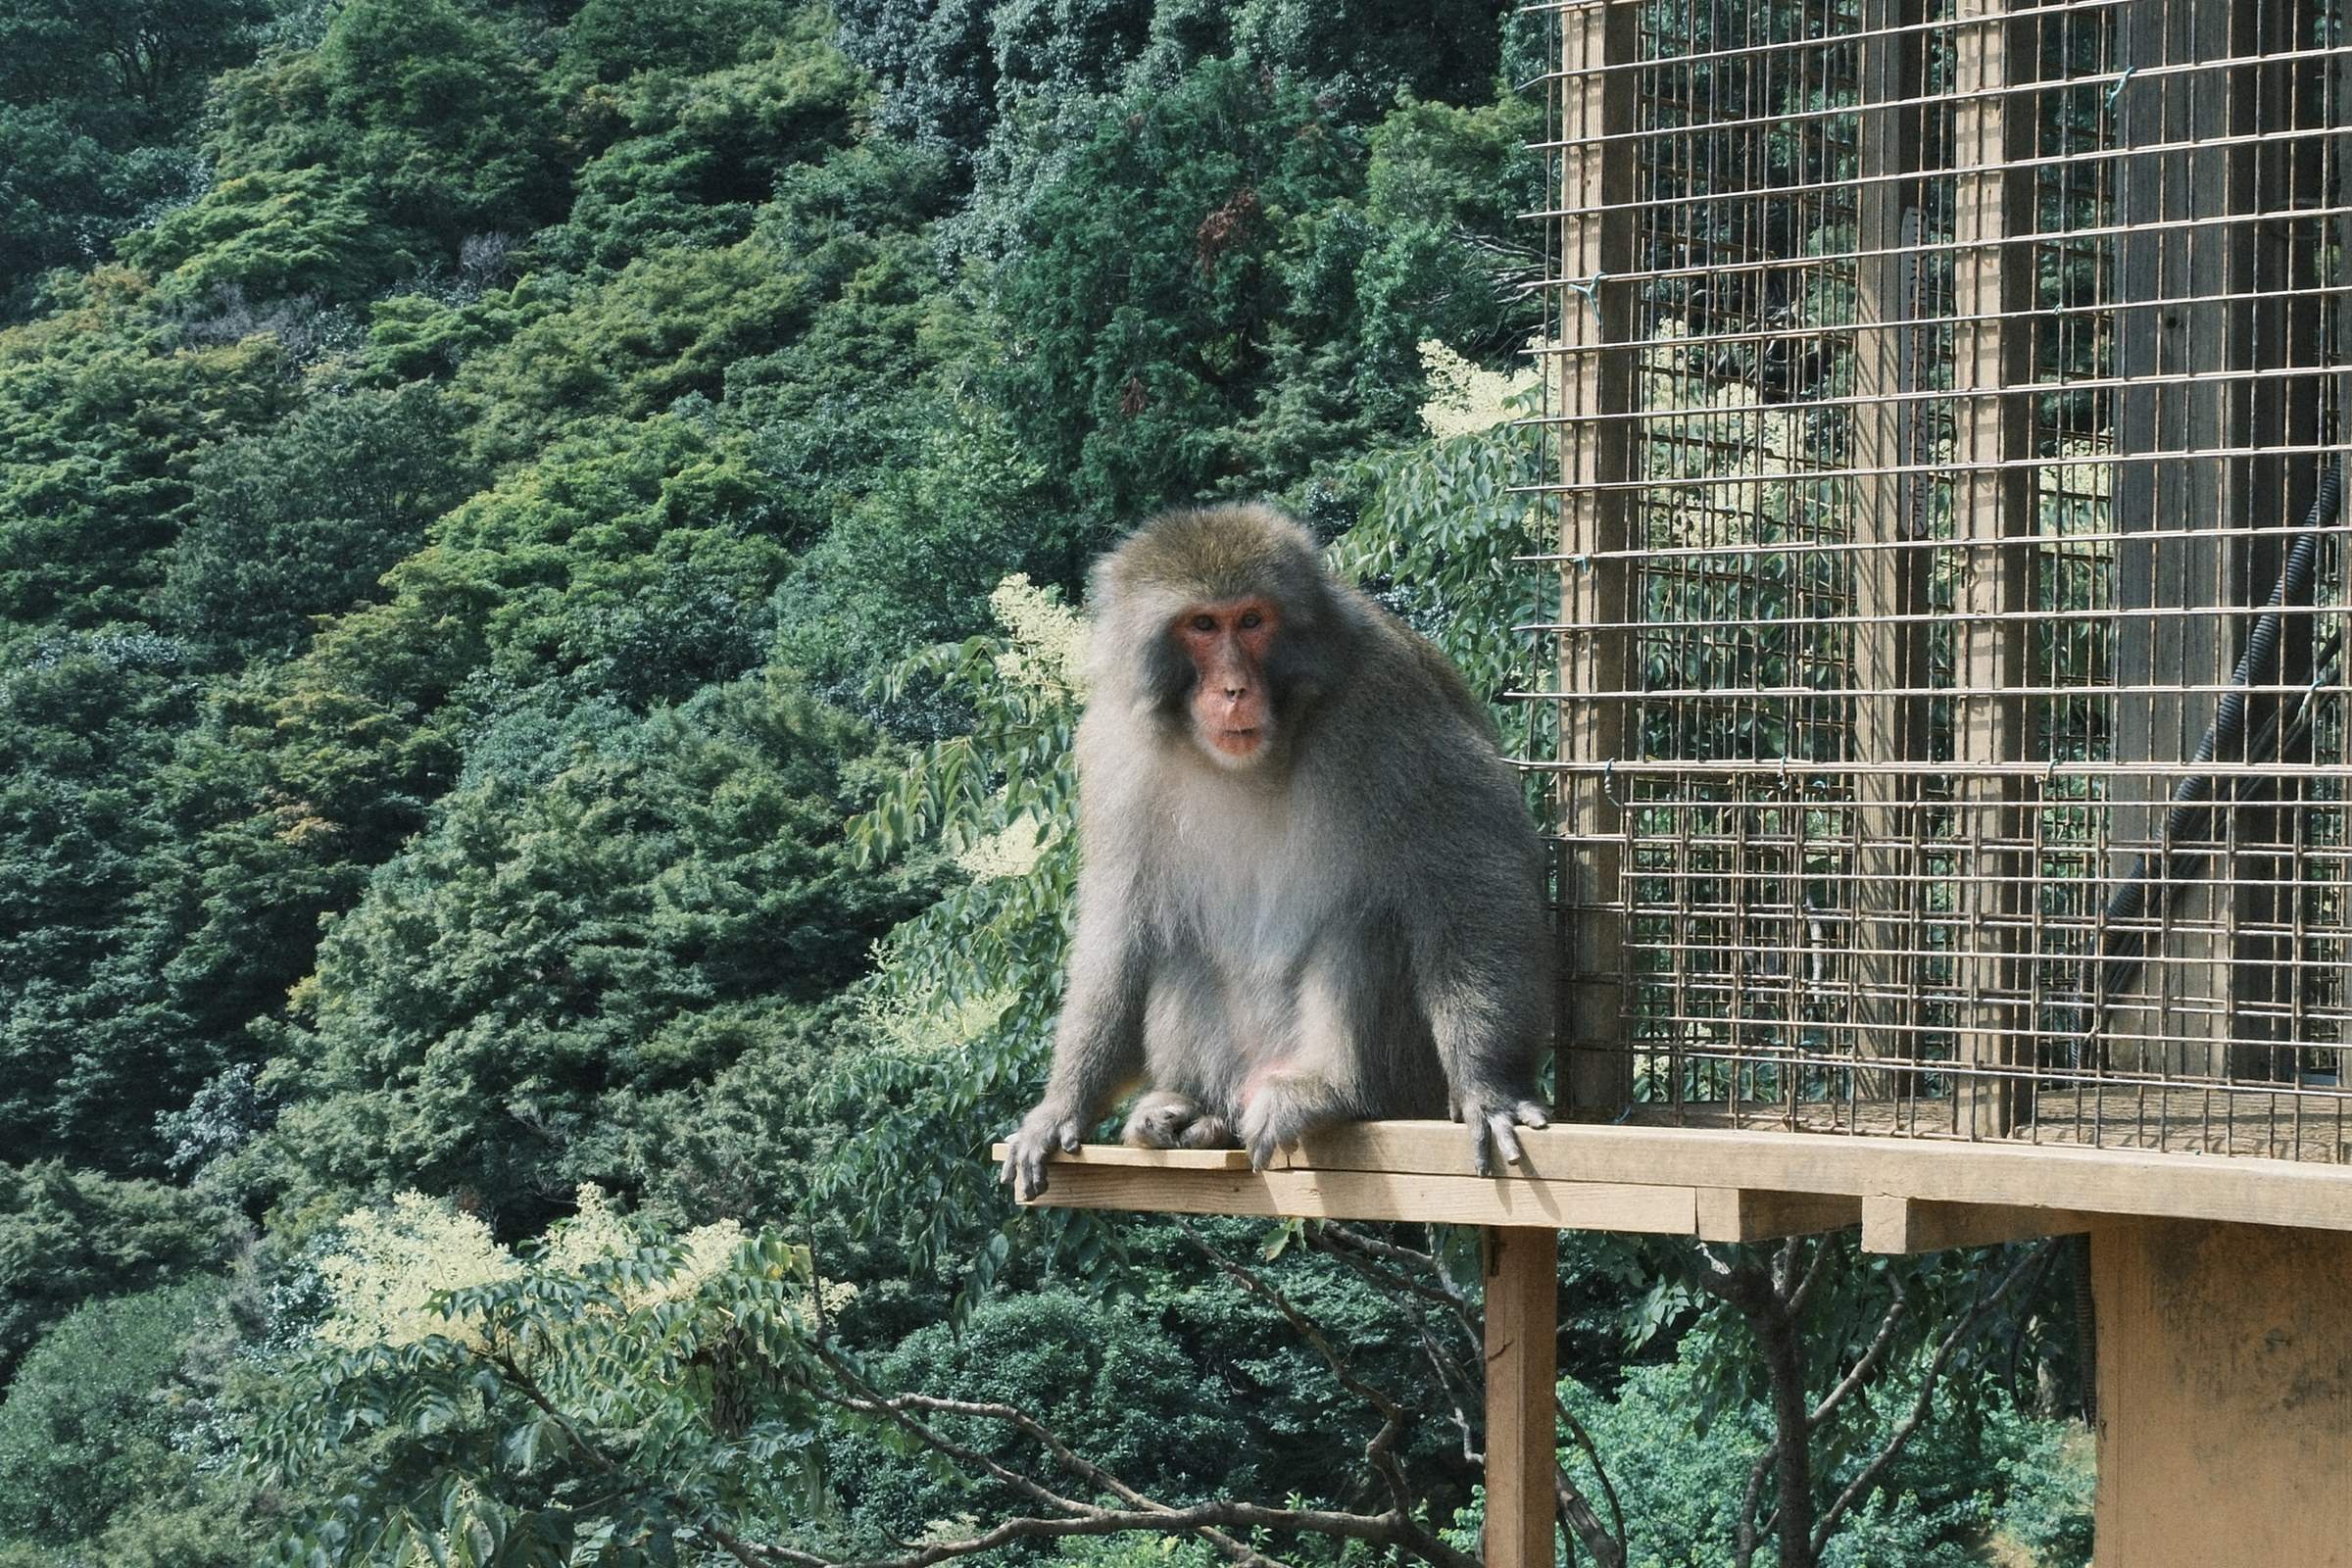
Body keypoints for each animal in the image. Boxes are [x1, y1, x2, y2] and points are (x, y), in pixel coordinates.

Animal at [999, 503, 1554, 1201]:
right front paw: (1063, 1106)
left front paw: (1490, 1085)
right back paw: (1192, 1113)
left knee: (1362, 925)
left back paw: (1329, 1089)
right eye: (1202, 625)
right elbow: (1122, 921)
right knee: (1176, 943)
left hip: (1404, 1078)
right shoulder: (1114, 746)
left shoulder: (1389, 702)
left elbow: (1471, 872)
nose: (1234, 689)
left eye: (1252, 620)